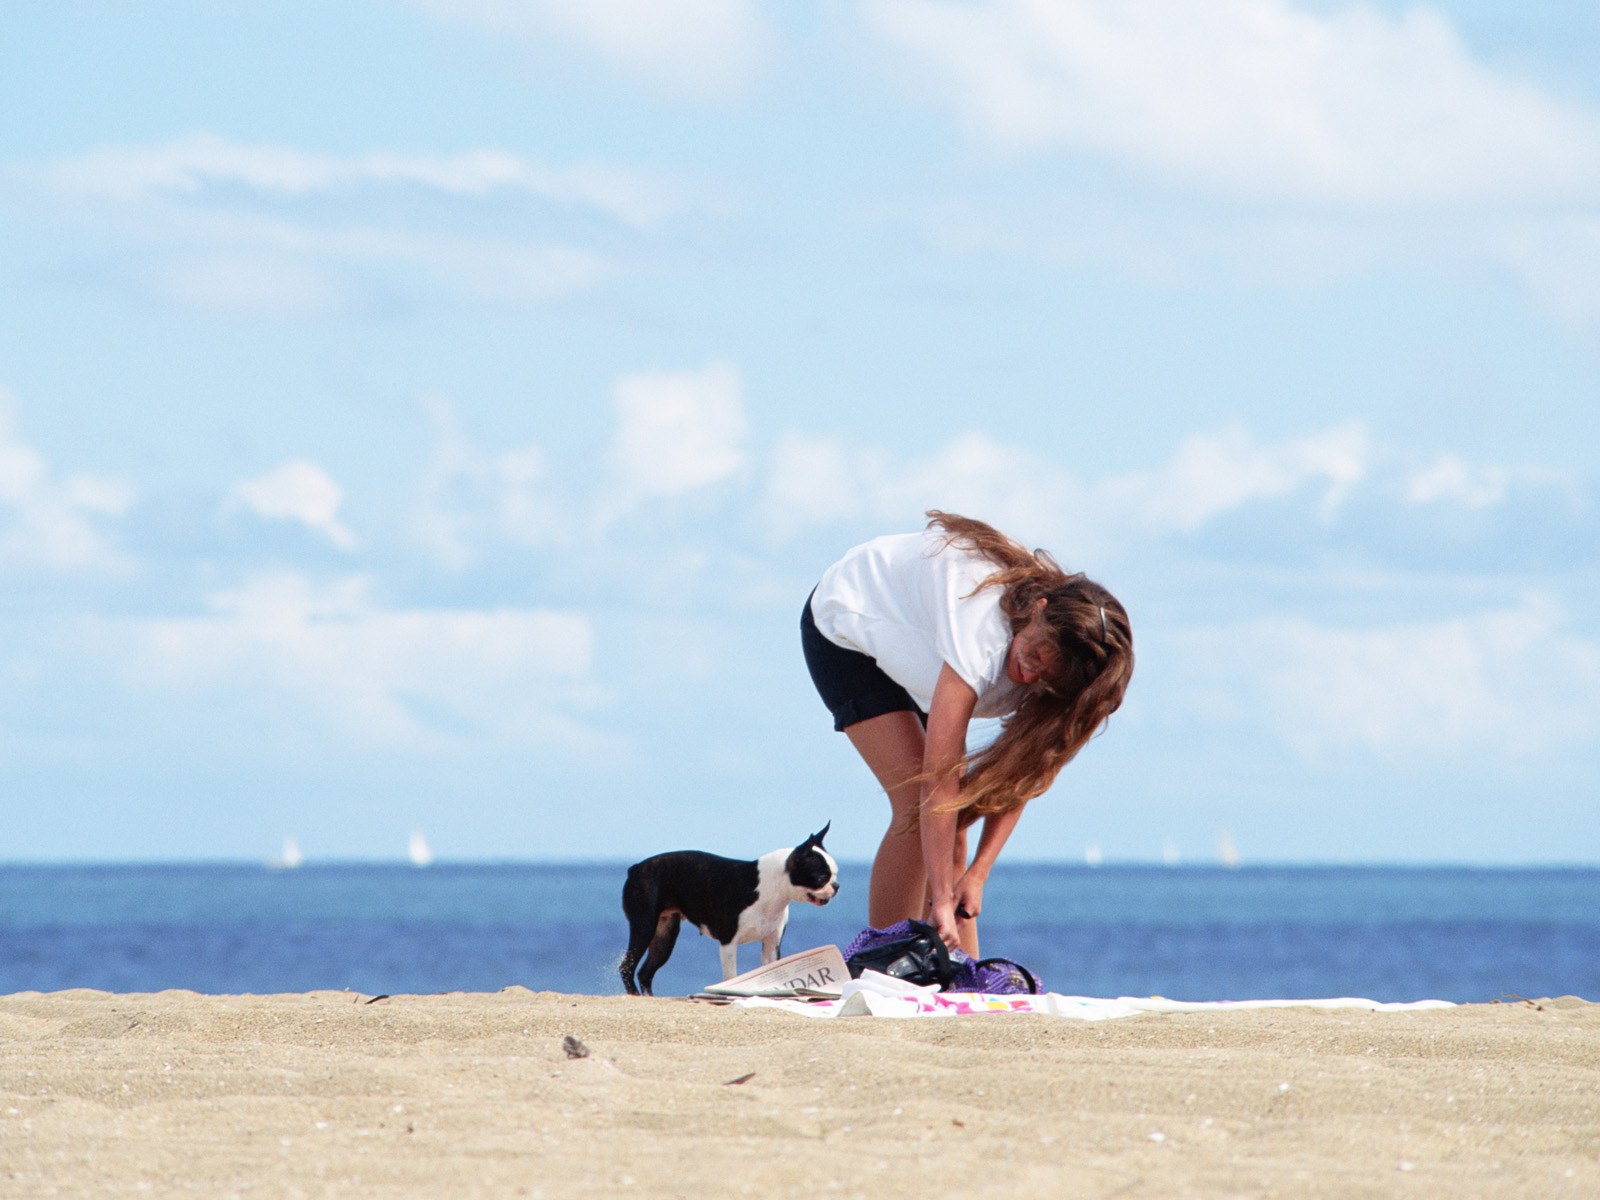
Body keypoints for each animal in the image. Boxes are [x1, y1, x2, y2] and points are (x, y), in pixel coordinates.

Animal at [617, 825, 838, 998]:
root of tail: (636, 868)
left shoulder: (771, 945)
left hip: (665, 936)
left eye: (835, 874)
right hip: (644, 925)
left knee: (645, 972)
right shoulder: (729, 944)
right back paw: (634, 995)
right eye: (821, 877)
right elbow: (732, 976)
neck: (770, 888)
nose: (836, 886)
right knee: (627, 966)